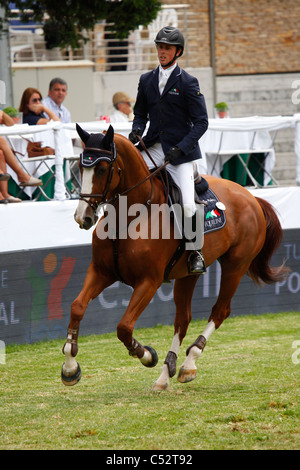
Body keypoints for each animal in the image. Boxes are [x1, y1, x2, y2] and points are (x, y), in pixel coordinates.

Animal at [61, 124, 288, 390]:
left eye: (102, 169)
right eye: (79, 167)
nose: (82, 217)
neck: (130, 215)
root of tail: (251, 197)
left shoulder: (149, 282)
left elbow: (124, 327)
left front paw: (147, 355)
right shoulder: (101, 271)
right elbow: (77, 306)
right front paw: (69, 367)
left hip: (236, 266)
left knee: (220, 311)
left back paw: (188, 363)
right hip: (188, 274)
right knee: (183, 319)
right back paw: (165, 374)